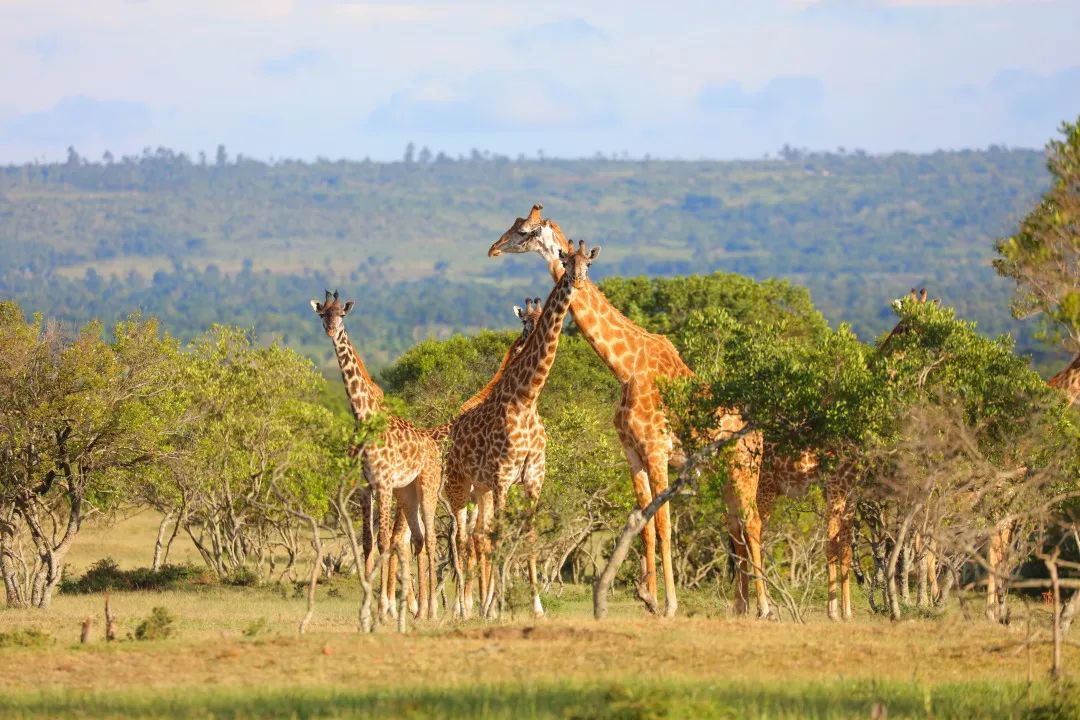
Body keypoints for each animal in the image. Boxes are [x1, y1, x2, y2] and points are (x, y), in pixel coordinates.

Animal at [311, 291, 440, 621]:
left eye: (342, 315)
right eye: (323, 314)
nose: (330, 330)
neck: (363, 415)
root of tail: (435, 447)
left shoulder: (383, 484)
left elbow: (383, 542)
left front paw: (383, 608)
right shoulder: (366, 486)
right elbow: (368, 542)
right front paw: (367, 606)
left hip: (428, 486)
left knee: (432, 538)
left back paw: (432, 610)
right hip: (407, 492)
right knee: (419, 538)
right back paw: (420, 611)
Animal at [447, 241, 600, 621]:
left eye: (588, 263)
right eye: (565, 261)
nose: (577, 281)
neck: (526, 399)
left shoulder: (532, 479)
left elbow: (528, 537)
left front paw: (535, 604)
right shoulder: (503, 477)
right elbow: (500, 537)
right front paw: (495, 606)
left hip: (481, 488)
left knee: (475, 536)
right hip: (460, 484)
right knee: (461, 537)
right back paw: (462, 607)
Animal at [488, 204, 760, 621]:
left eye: (524, 231)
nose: (493, 249)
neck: (625, 367)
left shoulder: (657, 449)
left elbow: (663, 524)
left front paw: (670, 604)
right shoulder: (632, 451)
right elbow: (644, 522)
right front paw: (648, 597)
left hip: (745, 467)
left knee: (753, 522)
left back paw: (765, 607)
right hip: (725, 470)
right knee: (736, 525)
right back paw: (741, 606)